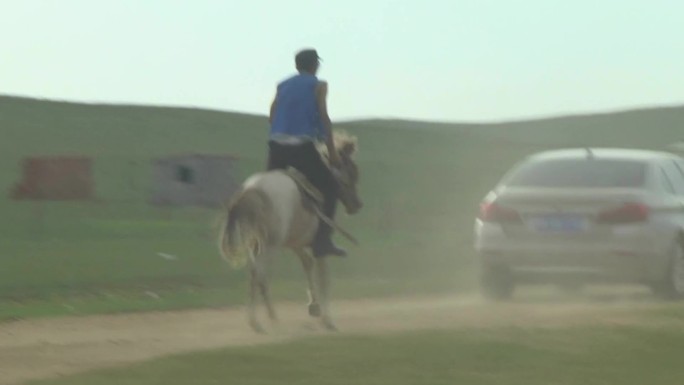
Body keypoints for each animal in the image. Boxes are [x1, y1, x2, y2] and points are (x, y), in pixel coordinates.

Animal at [219, 131, 364, 330]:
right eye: (351, 173)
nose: (357, 205)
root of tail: (252, 190)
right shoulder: (318, 246)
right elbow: (323, 276)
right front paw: (327, 319)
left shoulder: (296, 243)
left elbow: (307, 264)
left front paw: (315, 307)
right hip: (270, 245)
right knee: (261, 274)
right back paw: (269, 317)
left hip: (254, 241)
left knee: (254, 273)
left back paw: (256, 320)